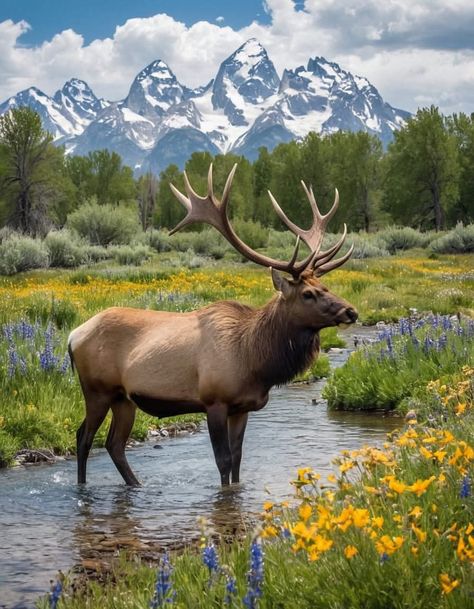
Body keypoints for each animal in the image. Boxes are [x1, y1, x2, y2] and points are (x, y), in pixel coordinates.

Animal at [69, 165, 356, 484]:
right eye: (307, 293)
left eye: (325, 285)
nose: (351, 311)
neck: (256, 360)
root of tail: (72, 336)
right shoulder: (214, 401)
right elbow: (223, 461)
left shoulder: (242, 408)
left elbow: (238, 460)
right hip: (97, 389)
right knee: (84, 438)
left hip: (123, 397)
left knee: (114, 444)